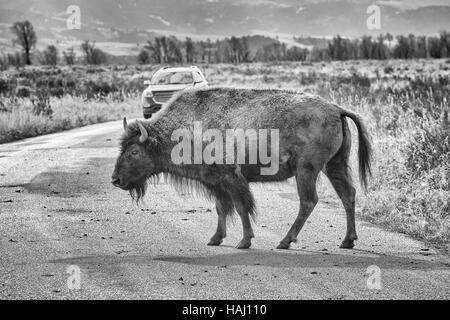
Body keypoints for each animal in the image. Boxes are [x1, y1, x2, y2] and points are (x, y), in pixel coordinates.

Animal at [110, 87, 370, 250]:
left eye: (134, 152)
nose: (115, 180)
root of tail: (336, 109)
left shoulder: (232, 178)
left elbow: (241, 207)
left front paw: (244, 241)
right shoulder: (215, 182)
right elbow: (221, 208)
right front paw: (215, 239)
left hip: (306, 170)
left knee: (308, 201)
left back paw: (285, 241)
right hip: (334, 165)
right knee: (347, 194)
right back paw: (347, 241)